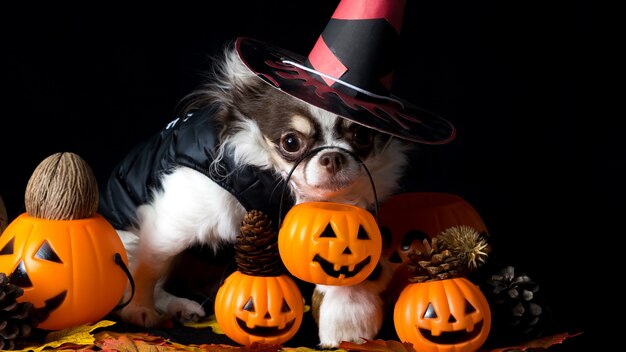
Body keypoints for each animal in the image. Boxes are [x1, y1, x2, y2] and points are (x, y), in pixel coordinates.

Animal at [100, 0, 456, 346]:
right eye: (290, 142)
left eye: (361, 136)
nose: (333, 157)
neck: (284, 185)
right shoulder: (174, 219)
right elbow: (148, 265)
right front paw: (138, 310)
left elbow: (343, 280)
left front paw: (348, 329)